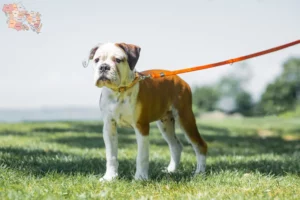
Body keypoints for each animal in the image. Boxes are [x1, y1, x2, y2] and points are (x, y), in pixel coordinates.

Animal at [83, 42, 207, 181]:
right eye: (97, 60)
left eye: (118, 60)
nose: (104, 67)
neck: (120, 91)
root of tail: (179, 78)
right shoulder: (109, 127)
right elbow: (111, 156)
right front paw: (110, 177)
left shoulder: (141, 127)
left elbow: (142, 156)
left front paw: (140, 178)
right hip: (165, 124)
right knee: (176, 146)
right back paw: (171, 170)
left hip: (185, 118)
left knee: (200, 145)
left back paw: (199, 173)